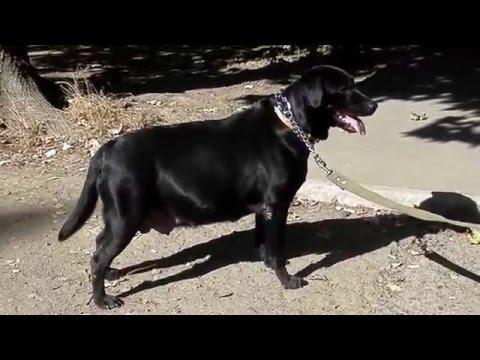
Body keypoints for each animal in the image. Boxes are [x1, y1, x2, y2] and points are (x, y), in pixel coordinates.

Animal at [57, 65, 378, 310]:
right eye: (345, 88)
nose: (374, 104)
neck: (290, 123)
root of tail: (106, 149)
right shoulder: (276, 204)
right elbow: (277, 246)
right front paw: (286, 279)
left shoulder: (263, 208)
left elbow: (264, 241)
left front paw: (264, 261)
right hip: (126, 217)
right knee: (98, 256)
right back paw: (102, 300)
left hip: (117, 217)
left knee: (99, 244)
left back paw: (111, 273)